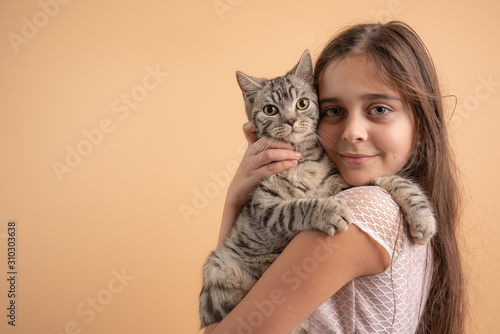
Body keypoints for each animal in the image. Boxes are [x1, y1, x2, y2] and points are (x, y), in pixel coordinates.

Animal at [198, 51, 434, 332]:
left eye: (302, 103)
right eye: (270, 110)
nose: (290, 120)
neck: (304, 162)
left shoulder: (348, 184)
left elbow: (392, 179)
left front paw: (422, 216)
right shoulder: (263, 209)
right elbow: (294, 209)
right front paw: (328, 211)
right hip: (219, 270)